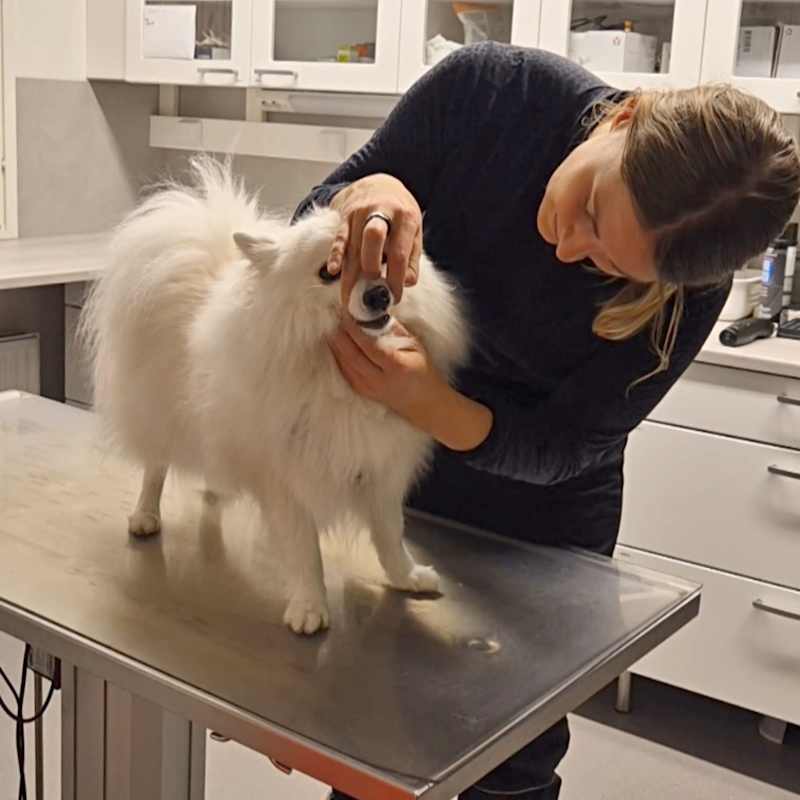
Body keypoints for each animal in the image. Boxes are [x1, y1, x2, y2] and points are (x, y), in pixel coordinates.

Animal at [81, 158, 469, 634]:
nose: (379, 294)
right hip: (160, 409)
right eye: (330, 272)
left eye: (383, 260)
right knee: (155, 466)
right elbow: (304, 549)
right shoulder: (285, 478)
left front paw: (406, 577)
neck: (330, 373)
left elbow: (388, 534)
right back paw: (145, 515)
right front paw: (309, 606)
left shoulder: (379, 469)